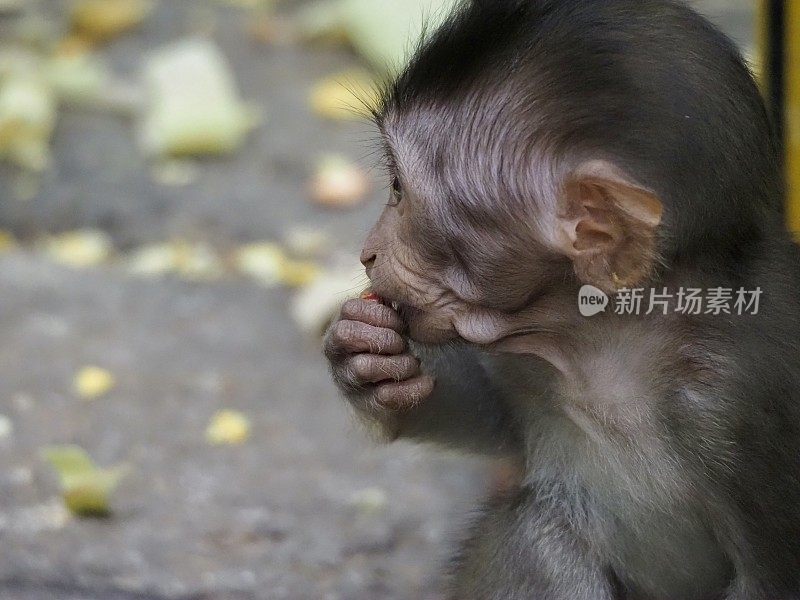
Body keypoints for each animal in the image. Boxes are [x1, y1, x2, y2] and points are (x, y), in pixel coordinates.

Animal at [324, 1, 800, 600]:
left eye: (399, 190)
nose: (368, 252)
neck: (607, 349)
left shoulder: (744, 410)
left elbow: (772, 573)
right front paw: (367, 362)